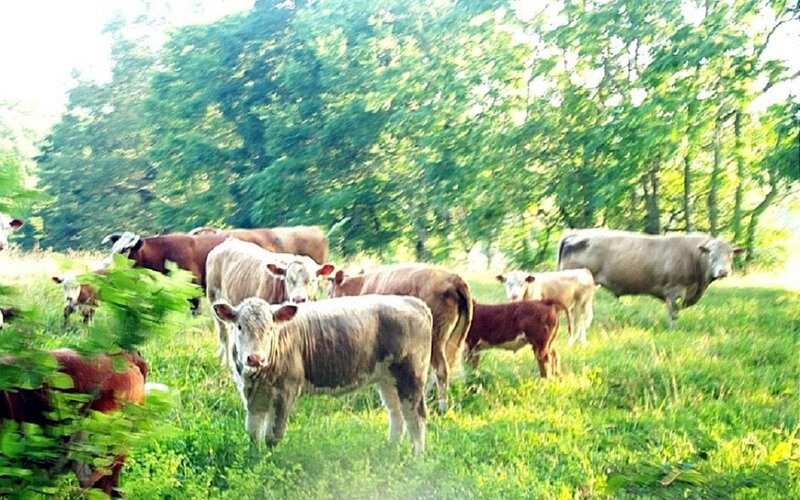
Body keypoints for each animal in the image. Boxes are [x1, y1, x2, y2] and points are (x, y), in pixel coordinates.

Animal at [206, 238, 334, 367]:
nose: (298, 299)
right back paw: (226, 363)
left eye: (313, 280)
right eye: (288, 280)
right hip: (214, 299)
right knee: (224, 334)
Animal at [212, 295, 432, 455]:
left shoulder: (285, 392)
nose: (255, 358)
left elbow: (272, 436)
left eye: (271, 328)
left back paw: (417, 459)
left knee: (416, 418)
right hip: (388, 380)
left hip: (411, 377)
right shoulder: (253, 397)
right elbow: (253, 434)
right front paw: (255, 461)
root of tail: (412, 301)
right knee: (397, 414)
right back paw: (390, 452)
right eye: (239, 326)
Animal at [328, 264, 473, 413]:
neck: (361, 285)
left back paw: (441, 407)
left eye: (329, 291)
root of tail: (454, 278)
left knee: (441, 369)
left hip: (435, 337)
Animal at [558, 229, 743, 326]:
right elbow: (673, 312)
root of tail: (575, 233)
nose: (723, 271)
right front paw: (672, 328)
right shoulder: (674, 290)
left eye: (730, 255)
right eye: (711, 254)